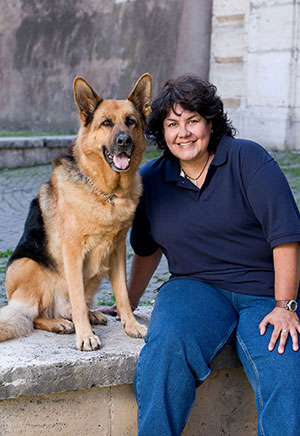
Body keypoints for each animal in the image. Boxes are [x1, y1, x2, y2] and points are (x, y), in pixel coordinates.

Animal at [0, 72, 151, 350]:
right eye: (106, 123)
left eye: (131, 121)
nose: (124, 141)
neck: (107, 194)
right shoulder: (73, 252)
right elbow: (78, 299)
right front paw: (85, 336)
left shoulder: (117, 251)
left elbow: (123, 295)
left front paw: (131, 326)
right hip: (29, 266)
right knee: (36, 316)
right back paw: (59, 323)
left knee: (68, 307)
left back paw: (90, 315)